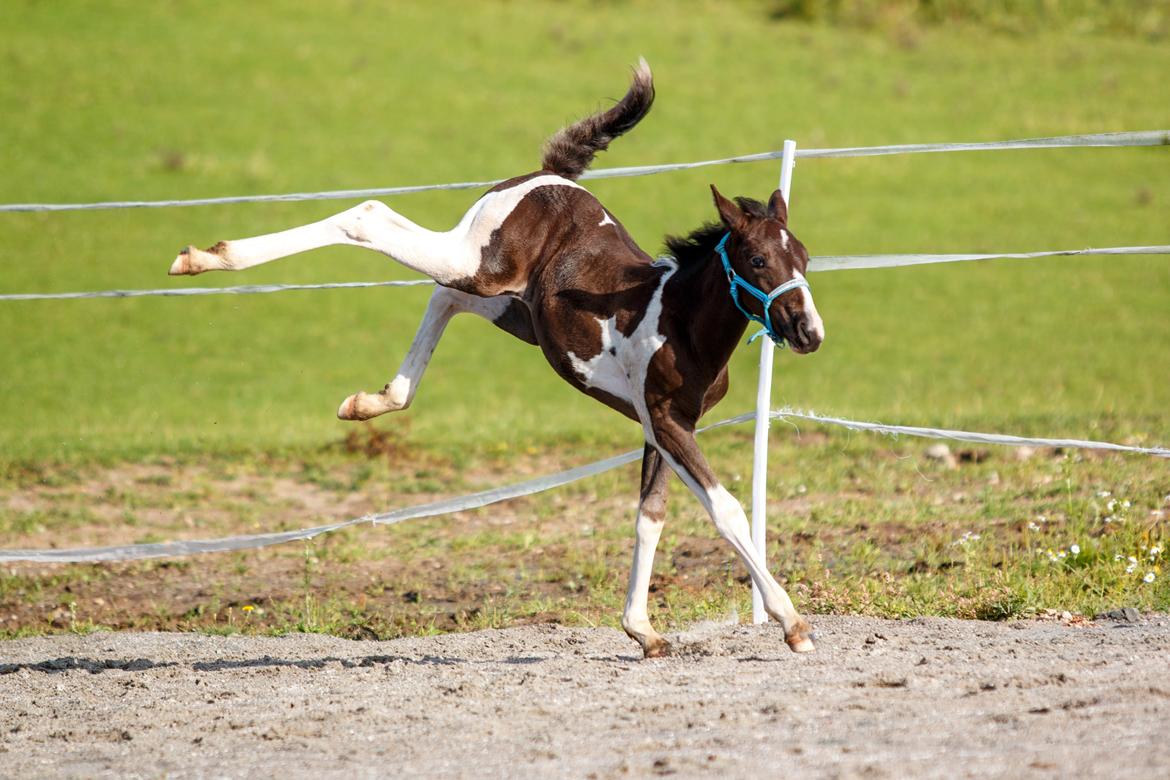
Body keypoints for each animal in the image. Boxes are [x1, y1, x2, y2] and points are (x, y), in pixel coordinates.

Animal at [167, 62, 823, 659]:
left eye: (806, 257)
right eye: (758, 260)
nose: (809, 332)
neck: (681, 322)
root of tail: (548, 178)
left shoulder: (664, 424)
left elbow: (650, 515)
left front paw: (643, 631)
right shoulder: (665, 420)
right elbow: (727, 511)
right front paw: (791, 622)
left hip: (509, 305)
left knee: (442, 295)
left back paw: (372, 401)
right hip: (479, 262)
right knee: (371, 218)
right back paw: (205, 258)